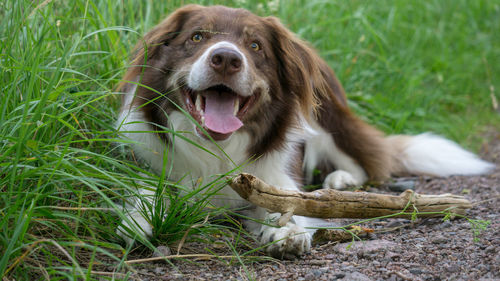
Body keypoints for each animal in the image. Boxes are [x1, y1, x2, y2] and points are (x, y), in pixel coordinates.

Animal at [115, 4, 494, 258]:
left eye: (255, 46)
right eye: (197, 37)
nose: (226, 58)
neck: (217, 147)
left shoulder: (275, 175)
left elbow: (286, 203)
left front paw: (287, 231)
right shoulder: (146, 159)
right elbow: (146, 190)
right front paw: (138, 220)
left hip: (330, 119)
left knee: (364, 164)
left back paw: (340, 181)